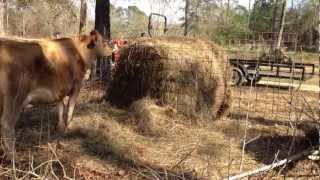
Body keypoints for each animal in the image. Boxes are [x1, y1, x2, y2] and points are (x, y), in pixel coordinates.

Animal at [0, 31, 112, 159]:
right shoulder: (76, 86)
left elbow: (60, 107)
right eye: (103, 41)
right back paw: (13, 157)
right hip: (15, 98)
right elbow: (69, 111)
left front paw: (60, 127)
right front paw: (66, 129)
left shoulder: (60, 90)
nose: (112, 49)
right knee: (7, 124)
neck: (79, 52)